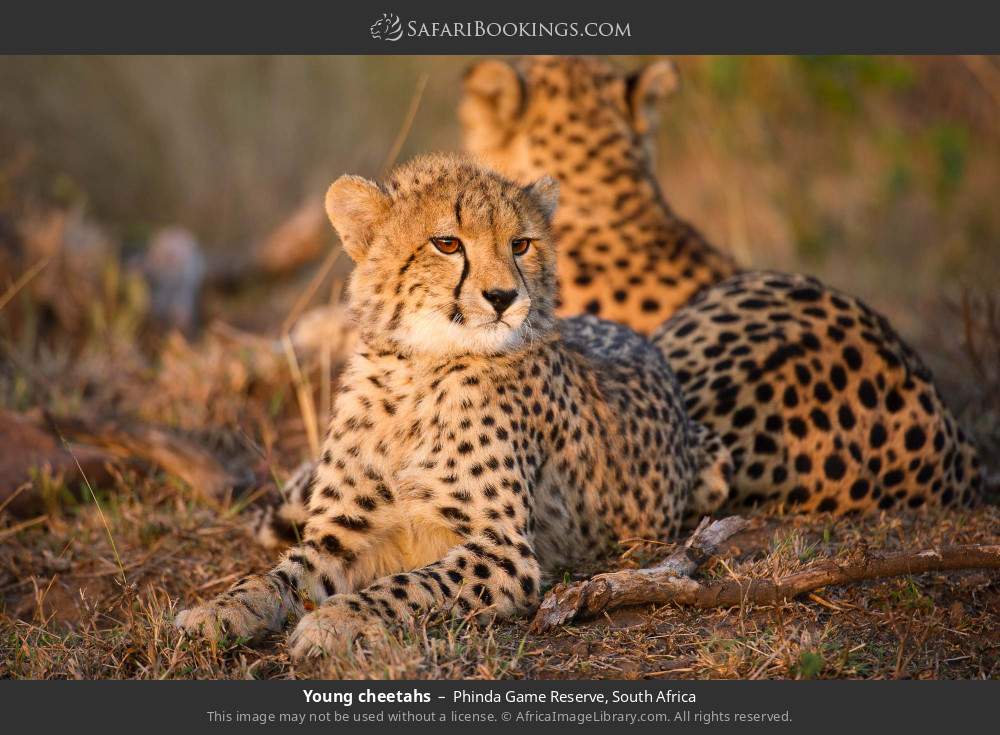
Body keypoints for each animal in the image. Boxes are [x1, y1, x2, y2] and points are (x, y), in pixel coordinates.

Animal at [176, 157, 732, 660]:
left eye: (520, 244)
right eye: (447, 243)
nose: (504, 296)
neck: (416, 371)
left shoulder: (504, 551)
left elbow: (408, 584)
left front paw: (337, 620)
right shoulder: (340, 533)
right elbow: (277, 577)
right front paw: (220, 610)